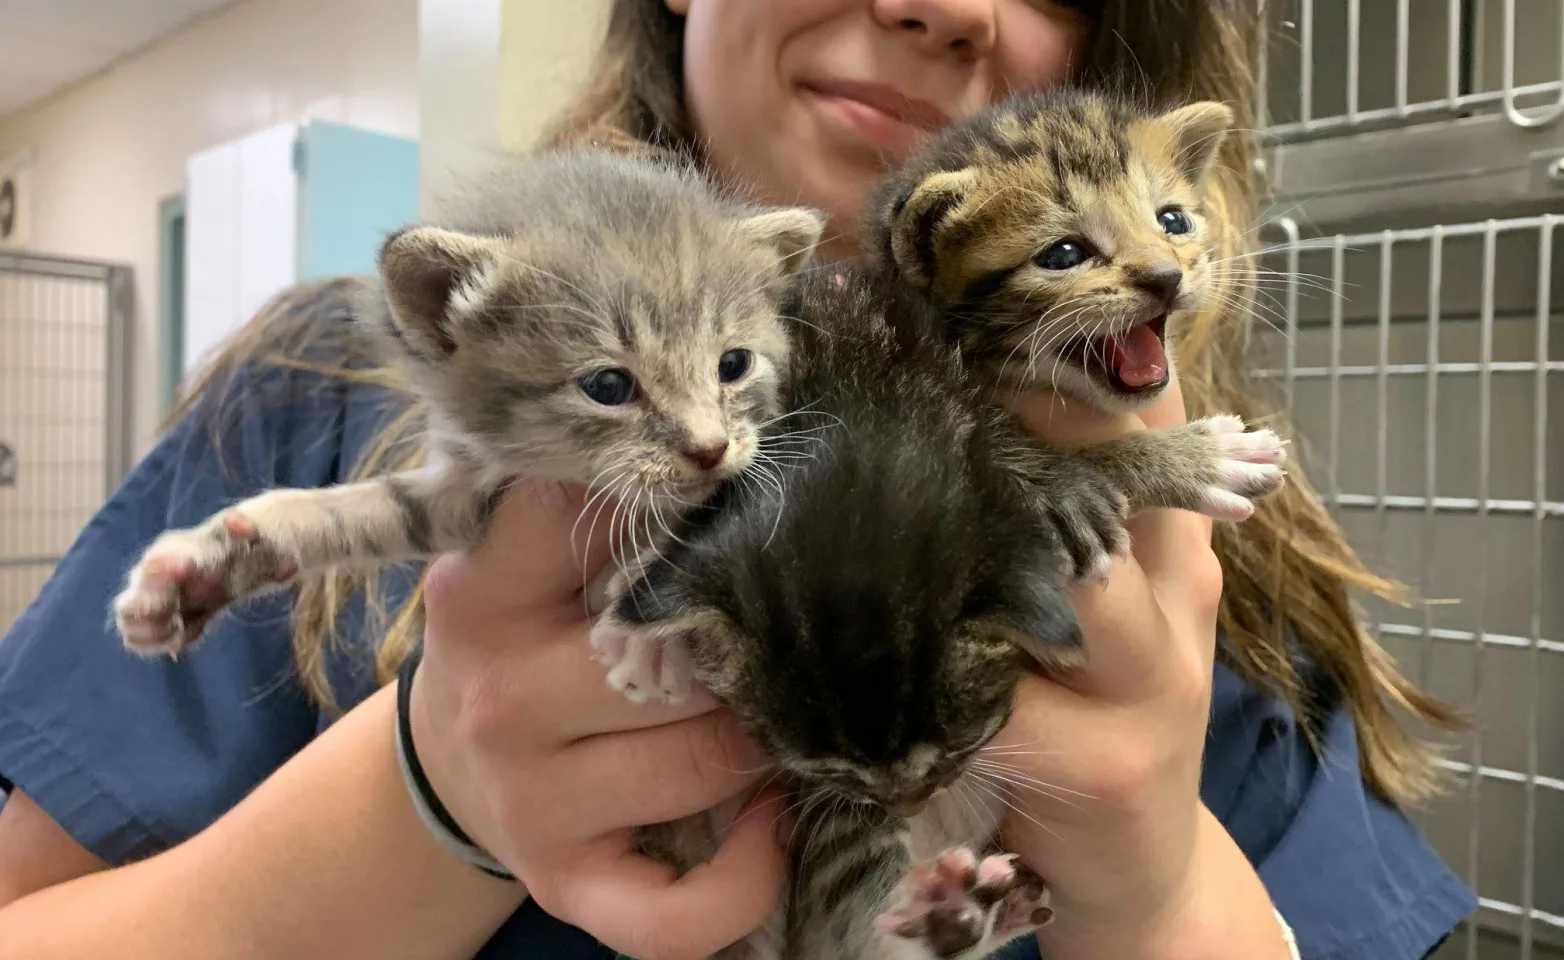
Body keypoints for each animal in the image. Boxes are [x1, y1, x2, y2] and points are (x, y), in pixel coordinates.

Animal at [111, 148, 825, 662]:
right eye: (608, 387)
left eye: (733, 365)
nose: (709, 448)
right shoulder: (473, 494)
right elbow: (365, 510)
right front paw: (205, 565)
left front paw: (648, 634)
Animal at [591, 270, 1288, 960]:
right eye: (828, 770)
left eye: (963, 744)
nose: (902, 806)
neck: (859, 393)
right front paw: (640, 620)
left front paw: (1174, 461)